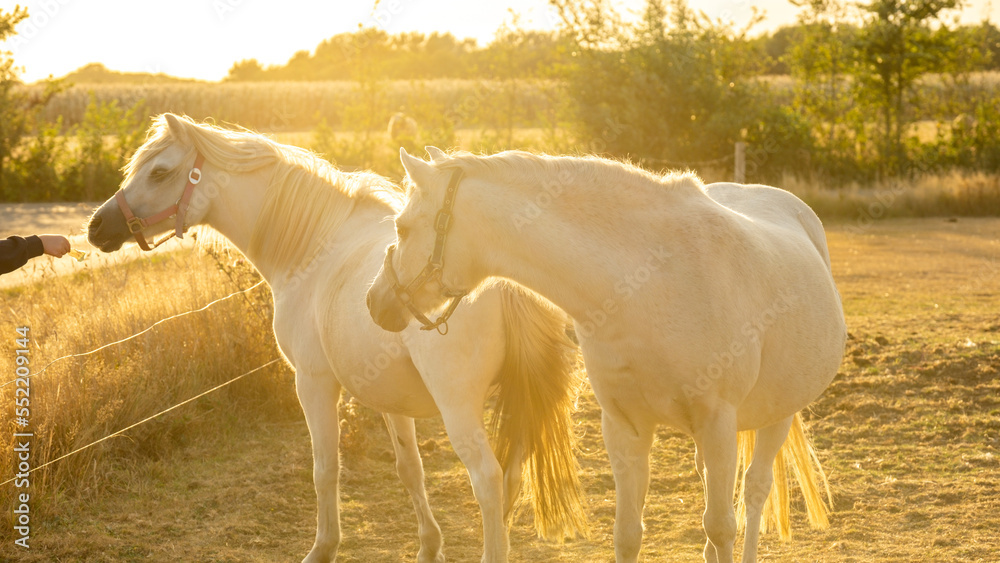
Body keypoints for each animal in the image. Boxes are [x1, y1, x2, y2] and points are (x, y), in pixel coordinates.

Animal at [86, 115, 589, 563]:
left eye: (159, 171)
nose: (96, 226)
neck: (315, 247)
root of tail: (505, 279)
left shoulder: (313, 383)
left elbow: (325, 468)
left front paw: (323, 548)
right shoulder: (391, 399)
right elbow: (410, 469)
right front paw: (430, 546)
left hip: (460, 408)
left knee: (487, 479)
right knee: (512, 476)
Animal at [366, 148, 847, 563]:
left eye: (403, 227)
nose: (375, 302)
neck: (650, 282)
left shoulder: (717, 422)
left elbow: (722, 526)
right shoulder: (625, 427)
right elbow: (629, 534)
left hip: (776, 416)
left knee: (754, 490)